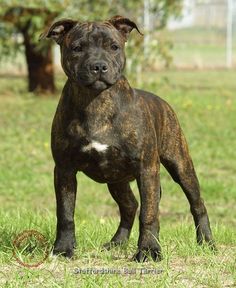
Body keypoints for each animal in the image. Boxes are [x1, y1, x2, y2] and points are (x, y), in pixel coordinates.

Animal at [41, 16, 215, 264]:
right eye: (77, 48)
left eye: (114, 47)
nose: (98, 66)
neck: (96, 101)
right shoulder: (65, 170)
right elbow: (65, 212)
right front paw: (64, 249)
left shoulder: (147, 169)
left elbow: (149, 213)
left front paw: (149, 251)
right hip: (116, 179)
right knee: (129, 205)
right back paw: (117, 242)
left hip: (181, 166)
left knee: (197, 204)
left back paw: (206, 241)